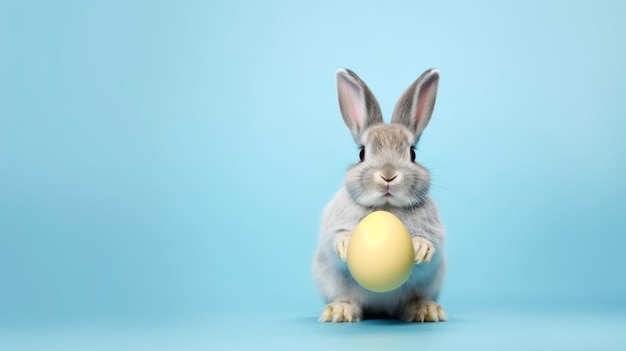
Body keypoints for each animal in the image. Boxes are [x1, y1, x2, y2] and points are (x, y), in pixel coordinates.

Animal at [310, 69, 446, 324]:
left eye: (412, 154)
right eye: (362, 153)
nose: (388, 175)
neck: (386, 207)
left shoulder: (435, 237)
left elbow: (430, 247)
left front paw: (421, 247)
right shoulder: (332, 228)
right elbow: (335, 239)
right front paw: (345, 244)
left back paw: (426, 310)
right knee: (349, 299)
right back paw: (339, 311)